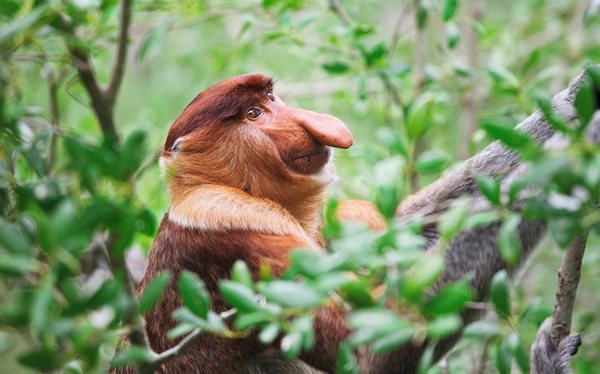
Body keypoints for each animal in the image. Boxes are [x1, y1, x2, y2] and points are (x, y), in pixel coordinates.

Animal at [112, 71, 592, 372]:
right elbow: (368, 348)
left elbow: (414, 229)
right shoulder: (234, 231)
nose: (311, 123)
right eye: (253, 115)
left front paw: (574, 102)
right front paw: (578, 151)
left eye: (270, 99)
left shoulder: (331, 222)